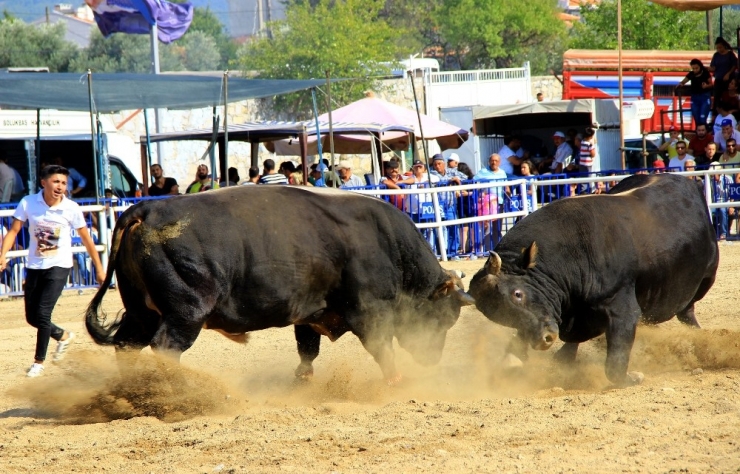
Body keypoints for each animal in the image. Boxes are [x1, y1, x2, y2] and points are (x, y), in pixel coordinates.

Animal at [84, 185, 472, 382]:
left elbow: (307, 350)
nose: (432, 360)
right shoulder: (370, 313)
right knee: (165, 347)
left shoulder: (310, 313)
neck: (386, 242)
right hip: (185, 311)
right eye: (444, 318)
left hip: (141, 311)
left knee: (127, 344)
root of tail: (146, 209)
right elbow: (382, 349)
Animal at [472, 174, 720, 386]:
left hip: (708, 275)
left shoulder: (622, 310)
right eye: (499, 315)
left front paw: (632, 377)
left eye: (518, 293)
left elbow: (614, 363)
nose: (545, 338)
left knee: (687, 309)